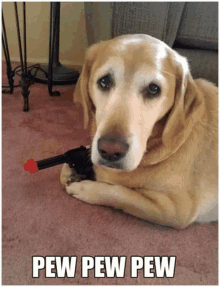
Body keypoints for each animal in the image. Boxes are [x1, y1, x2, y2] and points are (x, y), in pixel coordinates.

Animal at [60, 35, 218, 231]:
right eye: (104, 81)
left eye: (153, 89)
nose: (110, 151)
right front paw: (71, 168)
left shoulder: (176, 209)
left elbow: (120, 193)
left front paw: (86, 188)